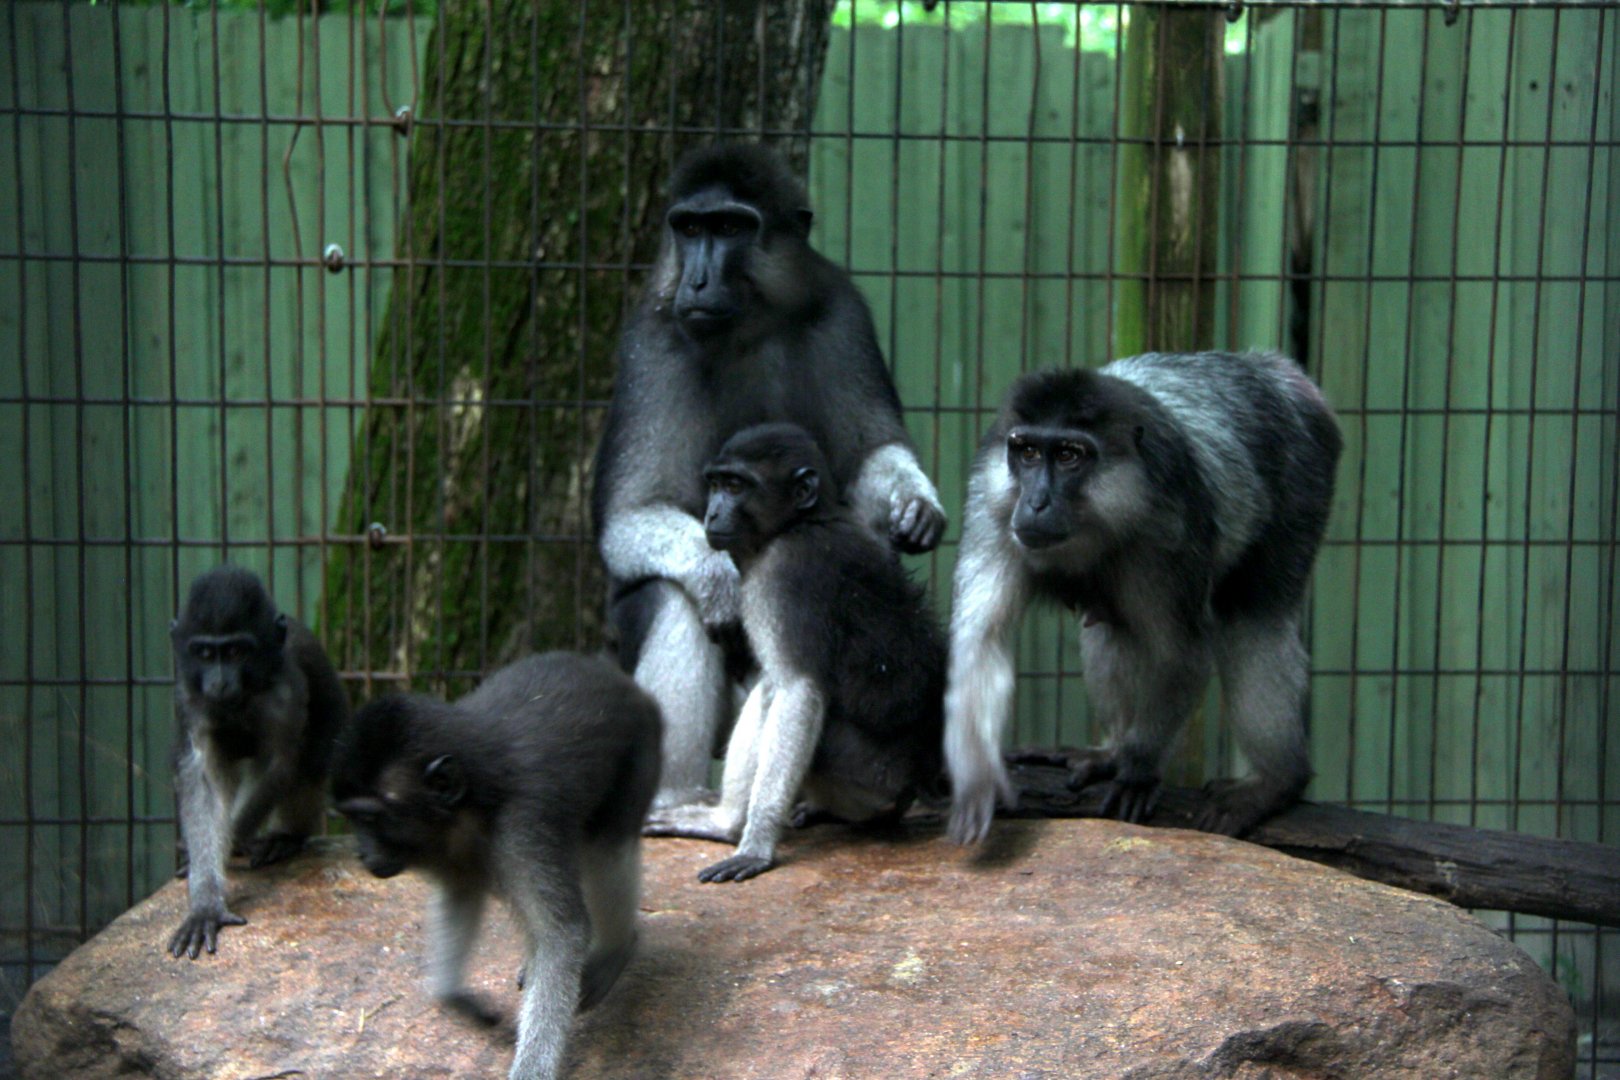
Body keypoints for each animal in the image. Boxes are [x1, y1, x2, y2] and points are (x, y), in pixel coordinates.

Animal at [166, 564, 347, 958]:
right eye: (205, 653)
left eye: (236, 651)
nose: (219, 683)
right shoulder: (190, 694)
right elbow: (202, 779)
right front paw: (205, 903)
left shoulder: (285, 692)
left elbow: (280, 763)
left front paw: (233, 842)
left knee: (309, 760)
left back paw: (286, 837)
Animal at [332, 652, 661, 1080]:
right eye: (350, 819)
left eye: (369, 819)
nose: (362, 853)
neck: (475, 800)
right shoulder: (445, 848)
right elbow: (460, 894)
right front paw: (454, 995)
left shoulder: (520, 831)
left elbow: (562, 935)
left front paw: (531, 1069)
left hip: (644, 746)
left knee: (607, 844)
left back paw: (615, 950)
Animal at [592, 143, 946, 811]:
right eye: (690, 228)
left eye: (732, 227)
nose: (698, 280)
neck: (747, 323)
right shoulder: (653, 345)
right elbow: (630, 518)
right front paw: (719, 576)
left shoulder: (840, 312)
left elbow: (870, 455)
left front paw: (914, 502)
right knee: (675, 600)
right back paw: (674, 799)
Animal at [644, 423, 945, 883]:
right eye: (715, 484)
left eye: (736, 486)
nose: (711, 514)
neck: (805, 521)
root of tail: (915, 782)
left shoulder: (782, 573)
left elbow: (798, 690)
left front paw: (757, 845)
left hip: (862, 778)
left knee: (774, 690)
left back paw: (732, 826)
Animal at [942, 351, 1342, 844]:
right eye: (1028, 452)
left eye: (1069, 455)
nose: (1036, 502)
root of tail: (1276, 371)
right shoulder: (993, 505)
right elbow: (981, 641)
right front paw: (975, 775)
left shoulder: (1167, 524)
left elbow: (1180, 652)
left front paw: (1139, 767)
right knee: (1113, 626)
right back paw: (1112, 751)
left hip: (1306, 469)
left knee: (1253, 619)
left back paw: (1276, 781)